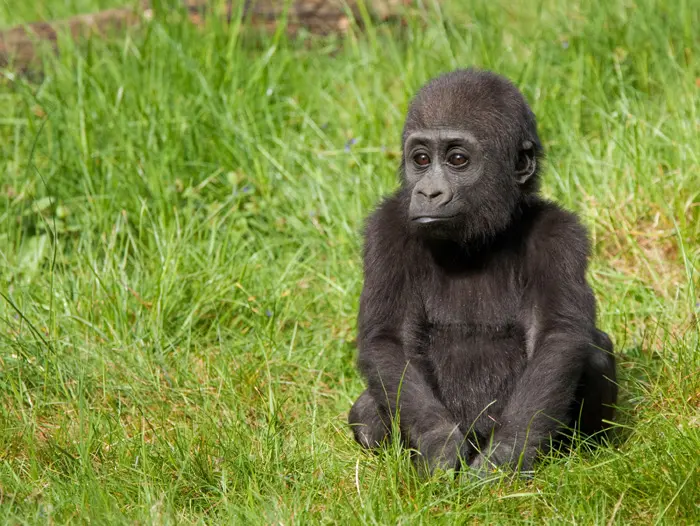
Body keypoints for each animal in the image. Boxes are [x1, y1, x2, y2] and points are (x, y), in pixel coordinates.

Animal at [348, 68, 616, 476]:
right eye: (421, 159)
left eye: (457, 159)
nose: (428, 193)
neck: (481, 237)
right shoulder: (386, 229)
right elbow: (389, 340)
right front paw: (440, 445)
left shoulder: (560, 234)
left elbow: (557, 337)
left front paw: (505, 454)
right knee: (365, 413)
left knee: (595, 350)